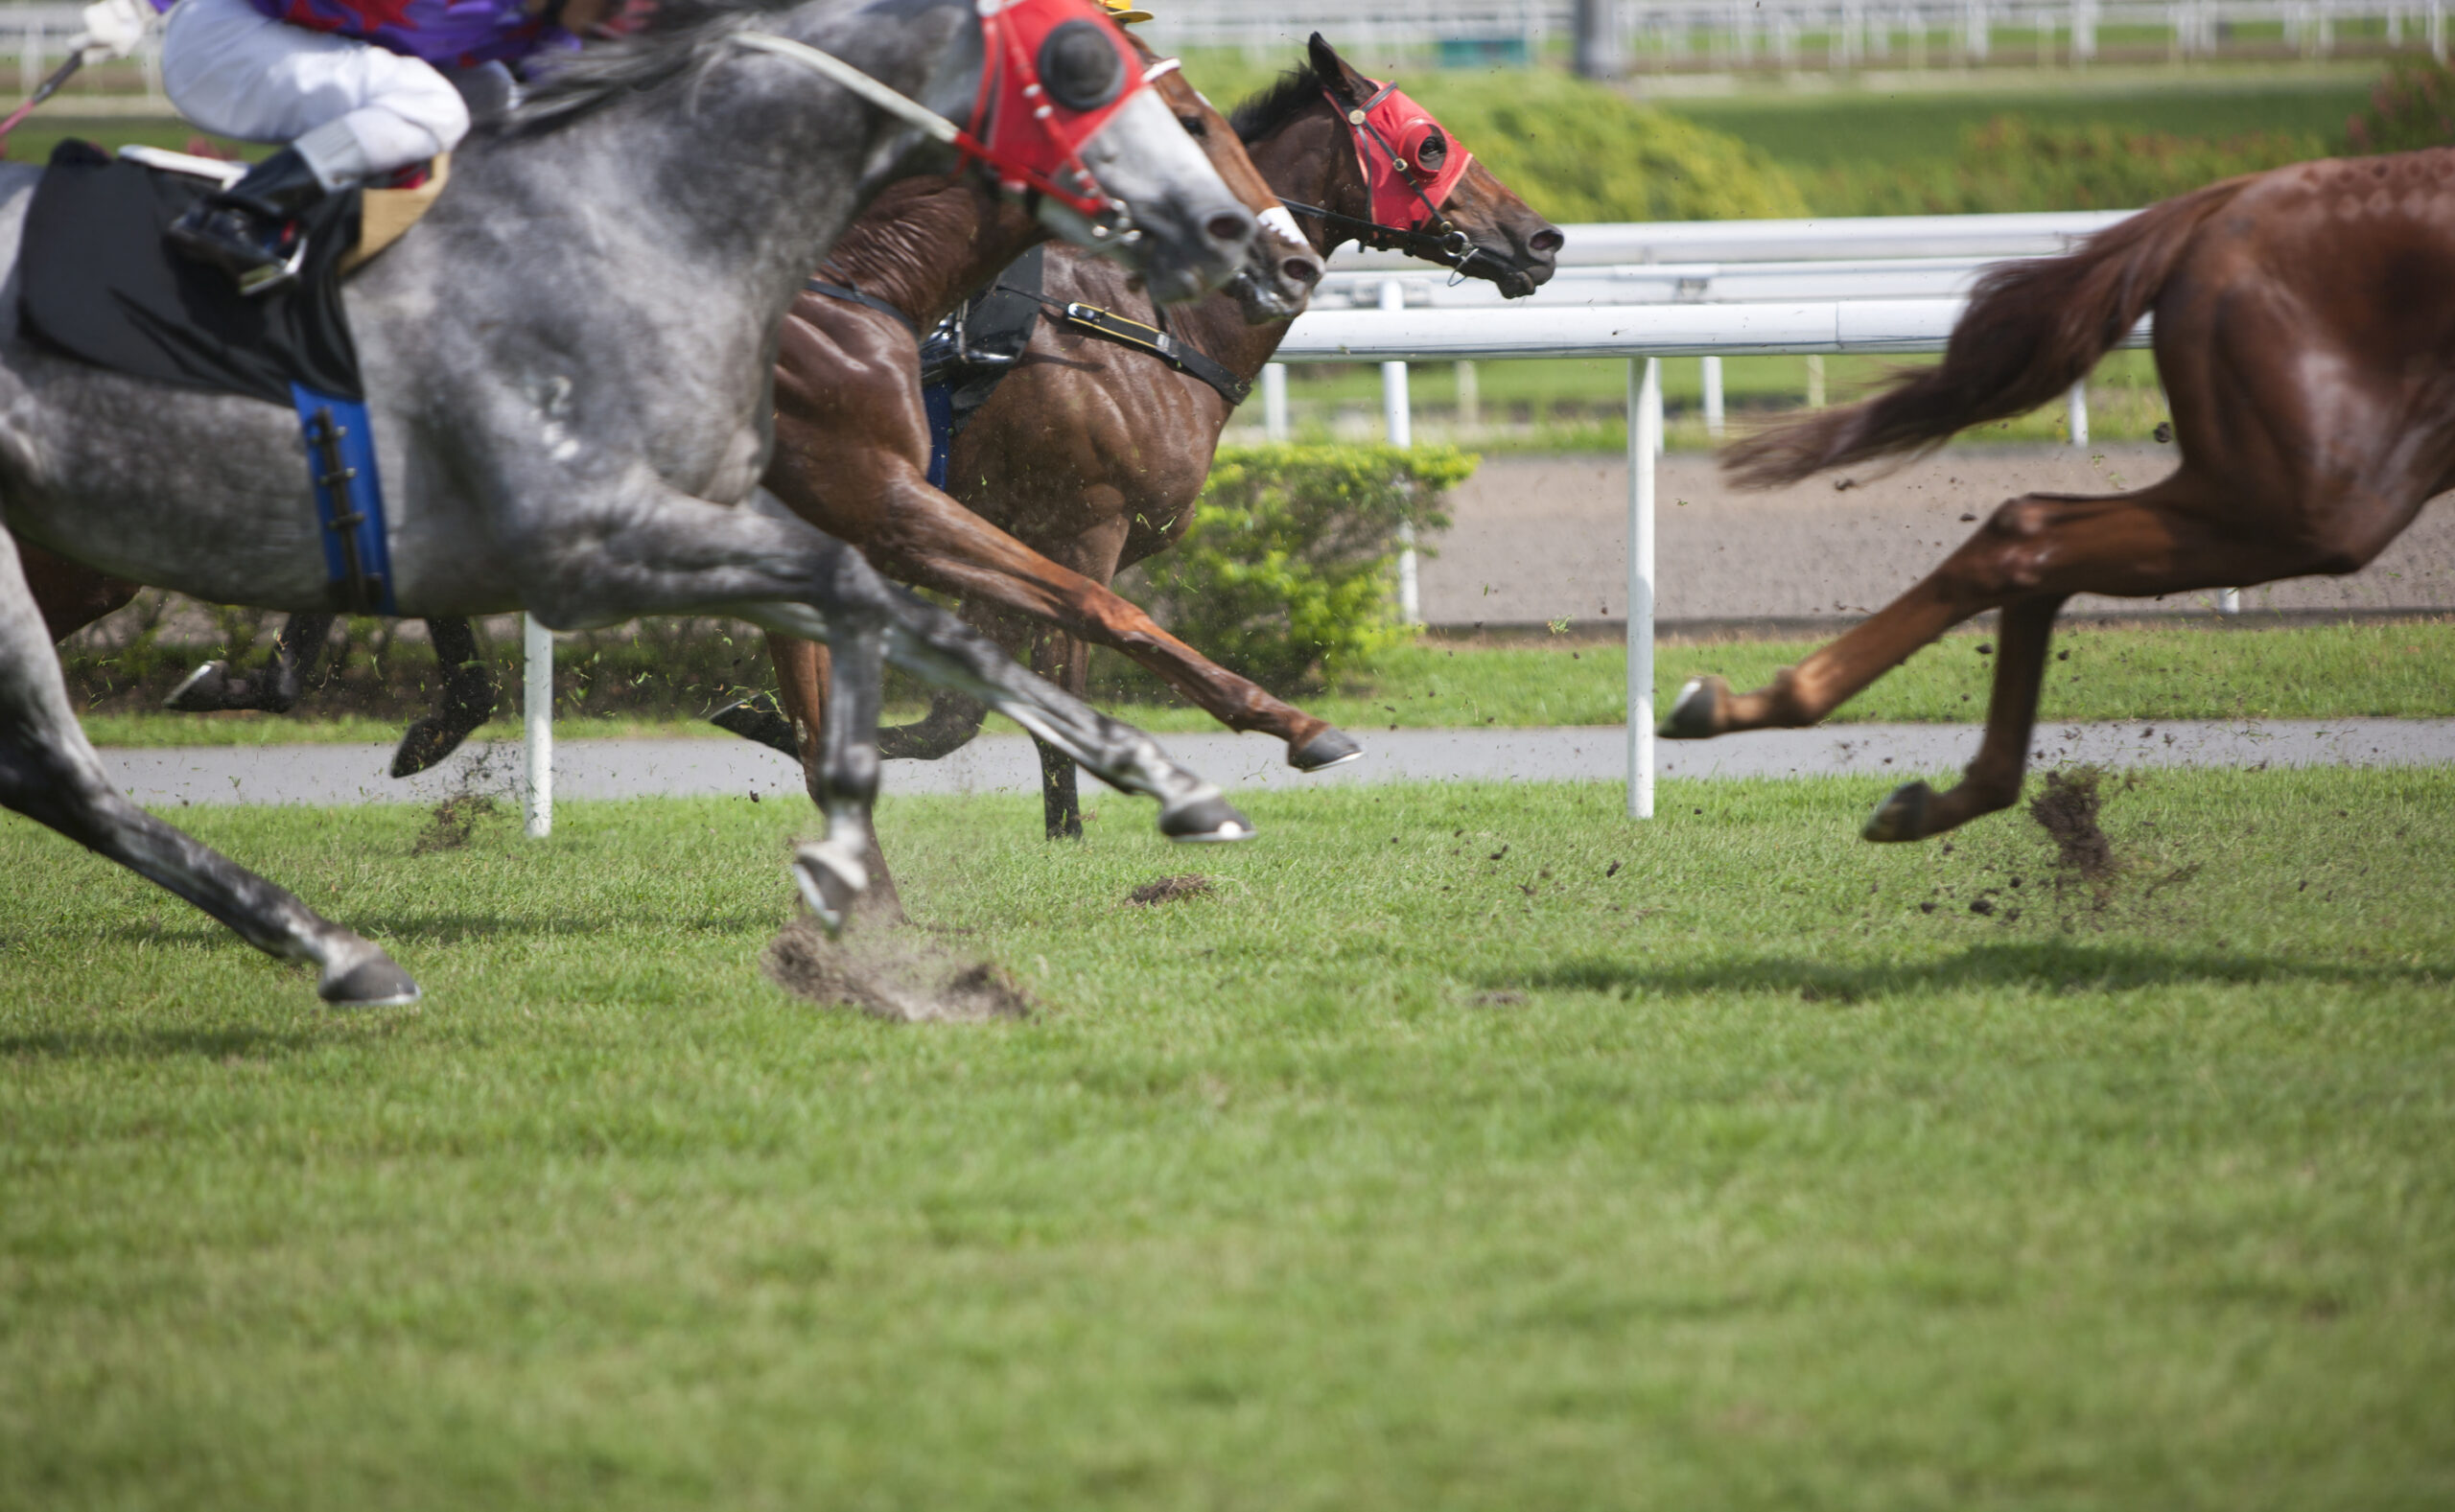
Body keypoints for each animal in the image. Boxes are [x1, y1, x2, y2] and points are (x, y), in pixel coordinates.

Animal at [0, 0, 1264, 1007]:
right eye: (1184, 114)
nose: (1278, 254)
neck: (846, 286)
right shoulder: (874, 504)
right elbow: (1052, 626)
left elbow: (866, 700)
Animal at [867, 34, 1562, 838]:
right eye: (1430, 142)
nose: (1542, 237)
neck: (1137, 319)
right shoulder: (1079, 528)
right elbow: (1050, 703)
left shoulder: (1014, 537)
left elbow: (952, 718)